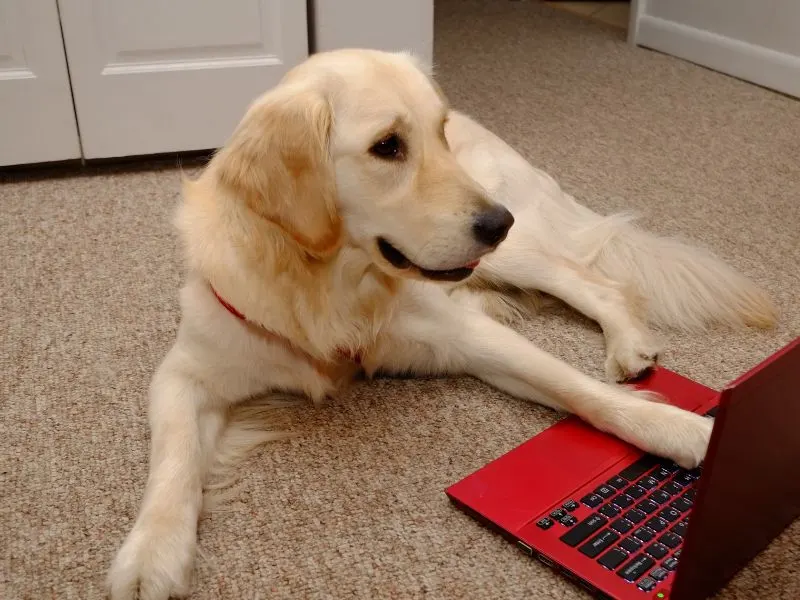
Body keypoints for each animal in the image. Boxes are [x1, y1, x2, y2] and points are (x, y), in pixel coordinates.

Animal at [106, 48, 776, 600]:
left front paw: (678, 428)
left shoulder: (464, 337)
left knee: (596, 282)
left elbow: (578, 389)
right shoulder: (188, 369)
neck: (332, 282)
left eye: (439, 133)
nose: (496, 222)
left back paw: (628, 347)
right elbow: (174, 458)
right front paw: (151, 556)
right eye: (387, 146)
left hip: (518, 251)